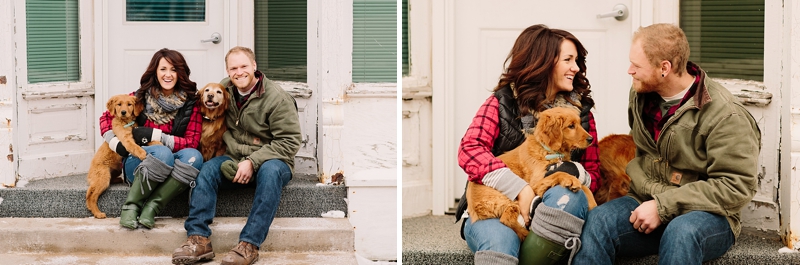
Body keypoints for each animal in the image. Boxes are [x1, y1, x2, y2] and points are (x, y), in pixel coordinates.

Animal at [466, 106, 596, 240]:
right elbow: (558, 173)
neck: (549, 151)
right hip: (510, 200)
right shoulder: (534, 184)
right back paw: (525, 234)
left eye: (579, 124)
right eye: (571, 126)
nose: (591, 139)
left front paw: (592, 203)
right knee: (505, 219)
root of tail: (474, 209)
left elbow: (585, 187)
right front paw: (570, 179)